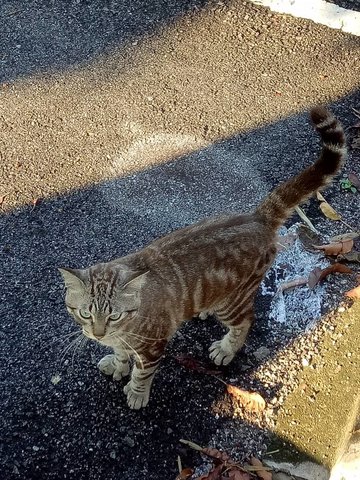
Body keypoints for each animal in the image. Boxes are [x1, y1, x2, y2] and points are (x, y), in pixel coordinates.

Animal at [59, 108, 346, 408]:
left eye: (113, 315)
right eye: (84, 312)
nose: (98, 333)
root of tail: (257, 218)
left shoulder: (153, 346)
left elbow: (141, 373)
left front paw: (137, 392)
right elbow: (120, 353)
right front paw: (117, 364)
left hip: (234, 302)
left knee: (246, 320)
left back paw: (227, 348)